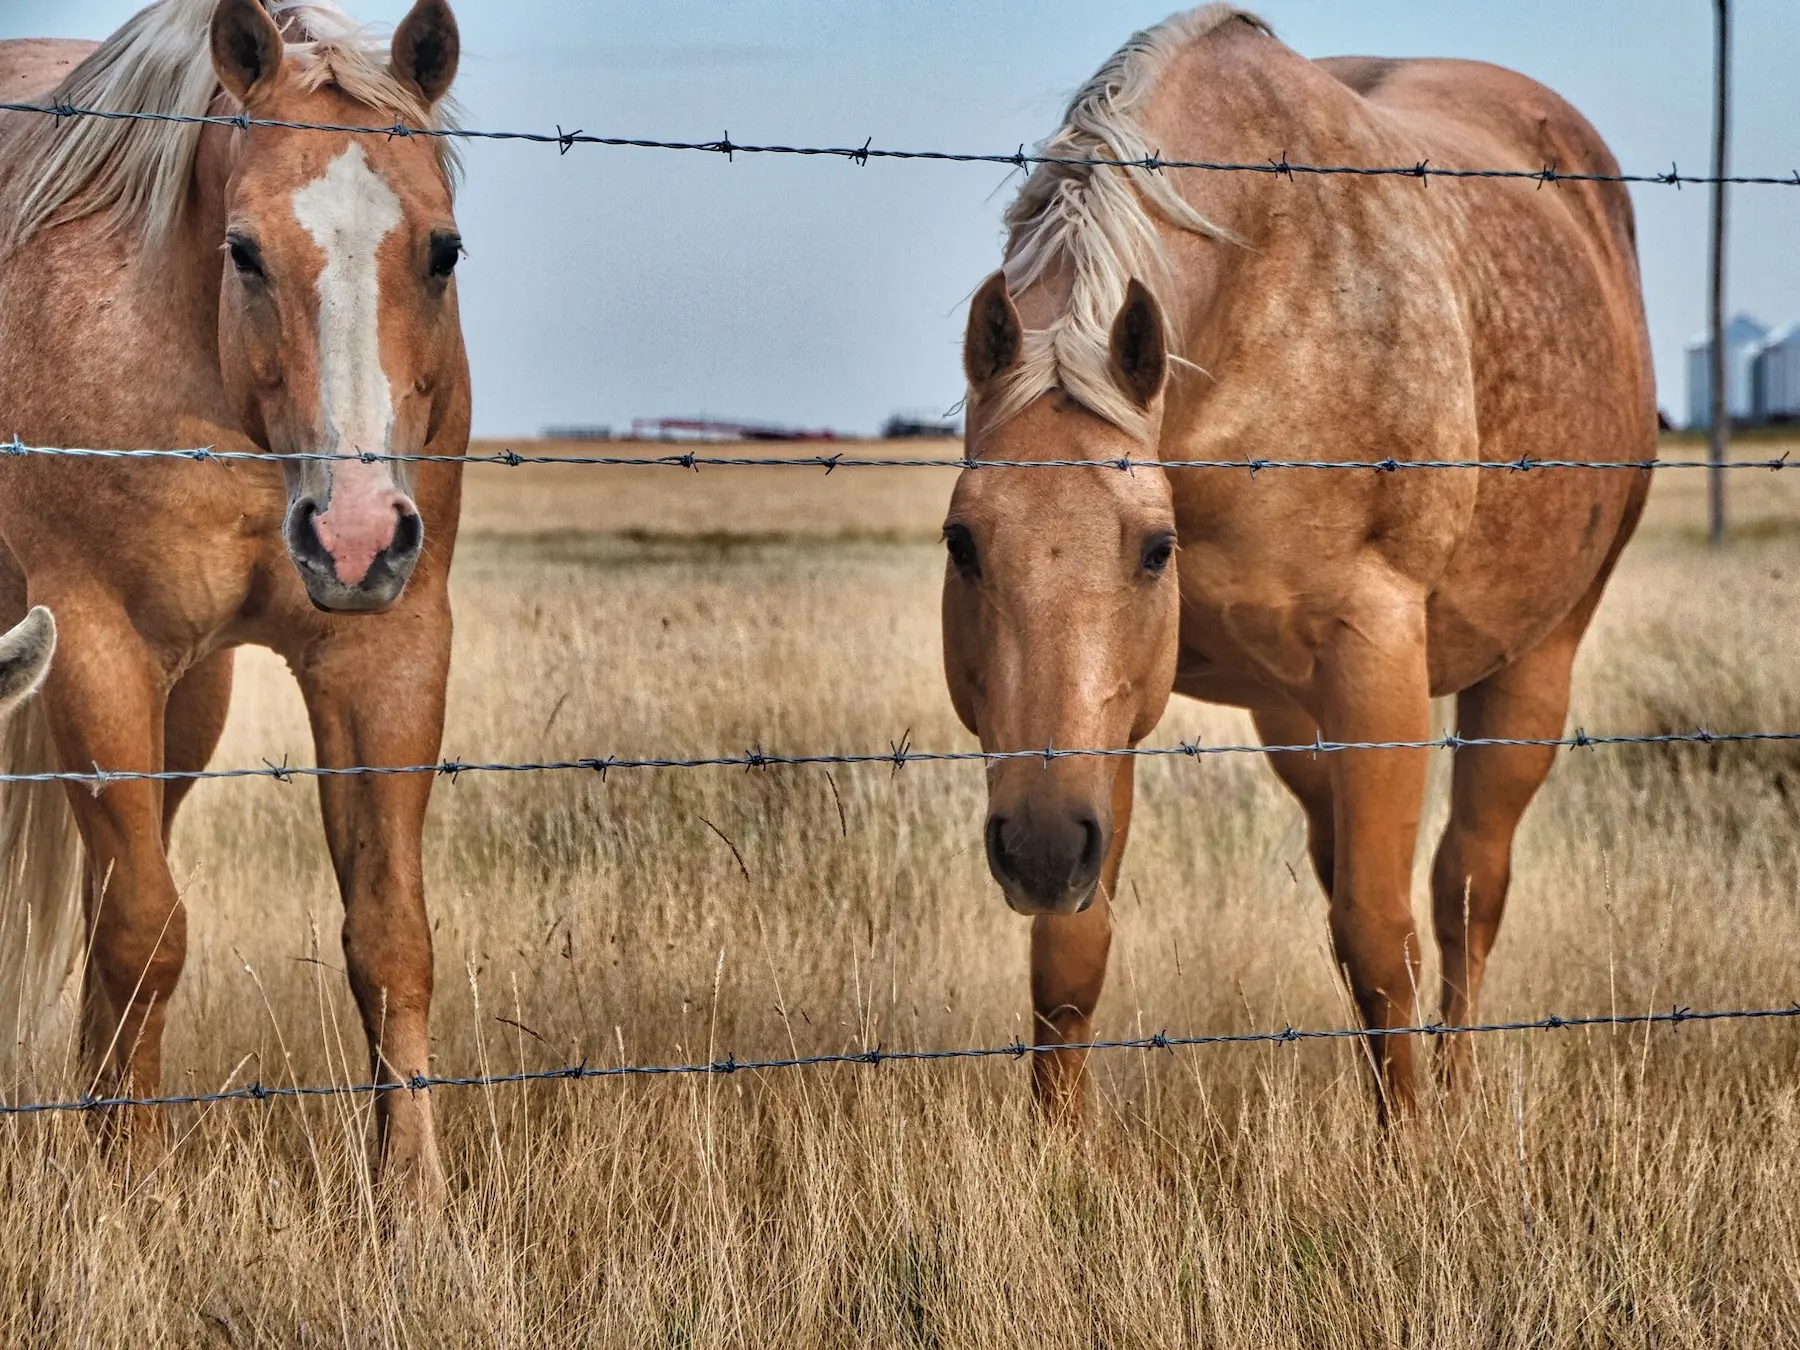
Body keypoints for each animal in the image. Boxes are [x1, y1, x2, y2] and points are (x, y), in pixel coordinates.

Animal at [0, 0, 471, 1202]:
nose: (354, 534)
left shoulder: (388, 650)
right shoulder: (97, 646)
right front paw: (134, 1190)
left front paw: (414, 1201)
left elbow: (391, 939)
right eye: (245, 251)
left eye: (443, 251)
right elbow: (143, 933)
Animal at [950, 7, 1648, 1123]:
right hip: (1289, 717)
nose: (1042, 847)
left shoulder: (1375, 657)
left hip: (1535, 659)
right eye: (963, 542)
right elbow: (1070, 960)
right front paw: (1054, 1151)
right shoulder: (1100, 732)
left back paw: (1456, 1091)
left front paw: (1408, 1143)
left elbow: (1382, 936)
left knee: (1467, 889)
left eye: (1154, 550)